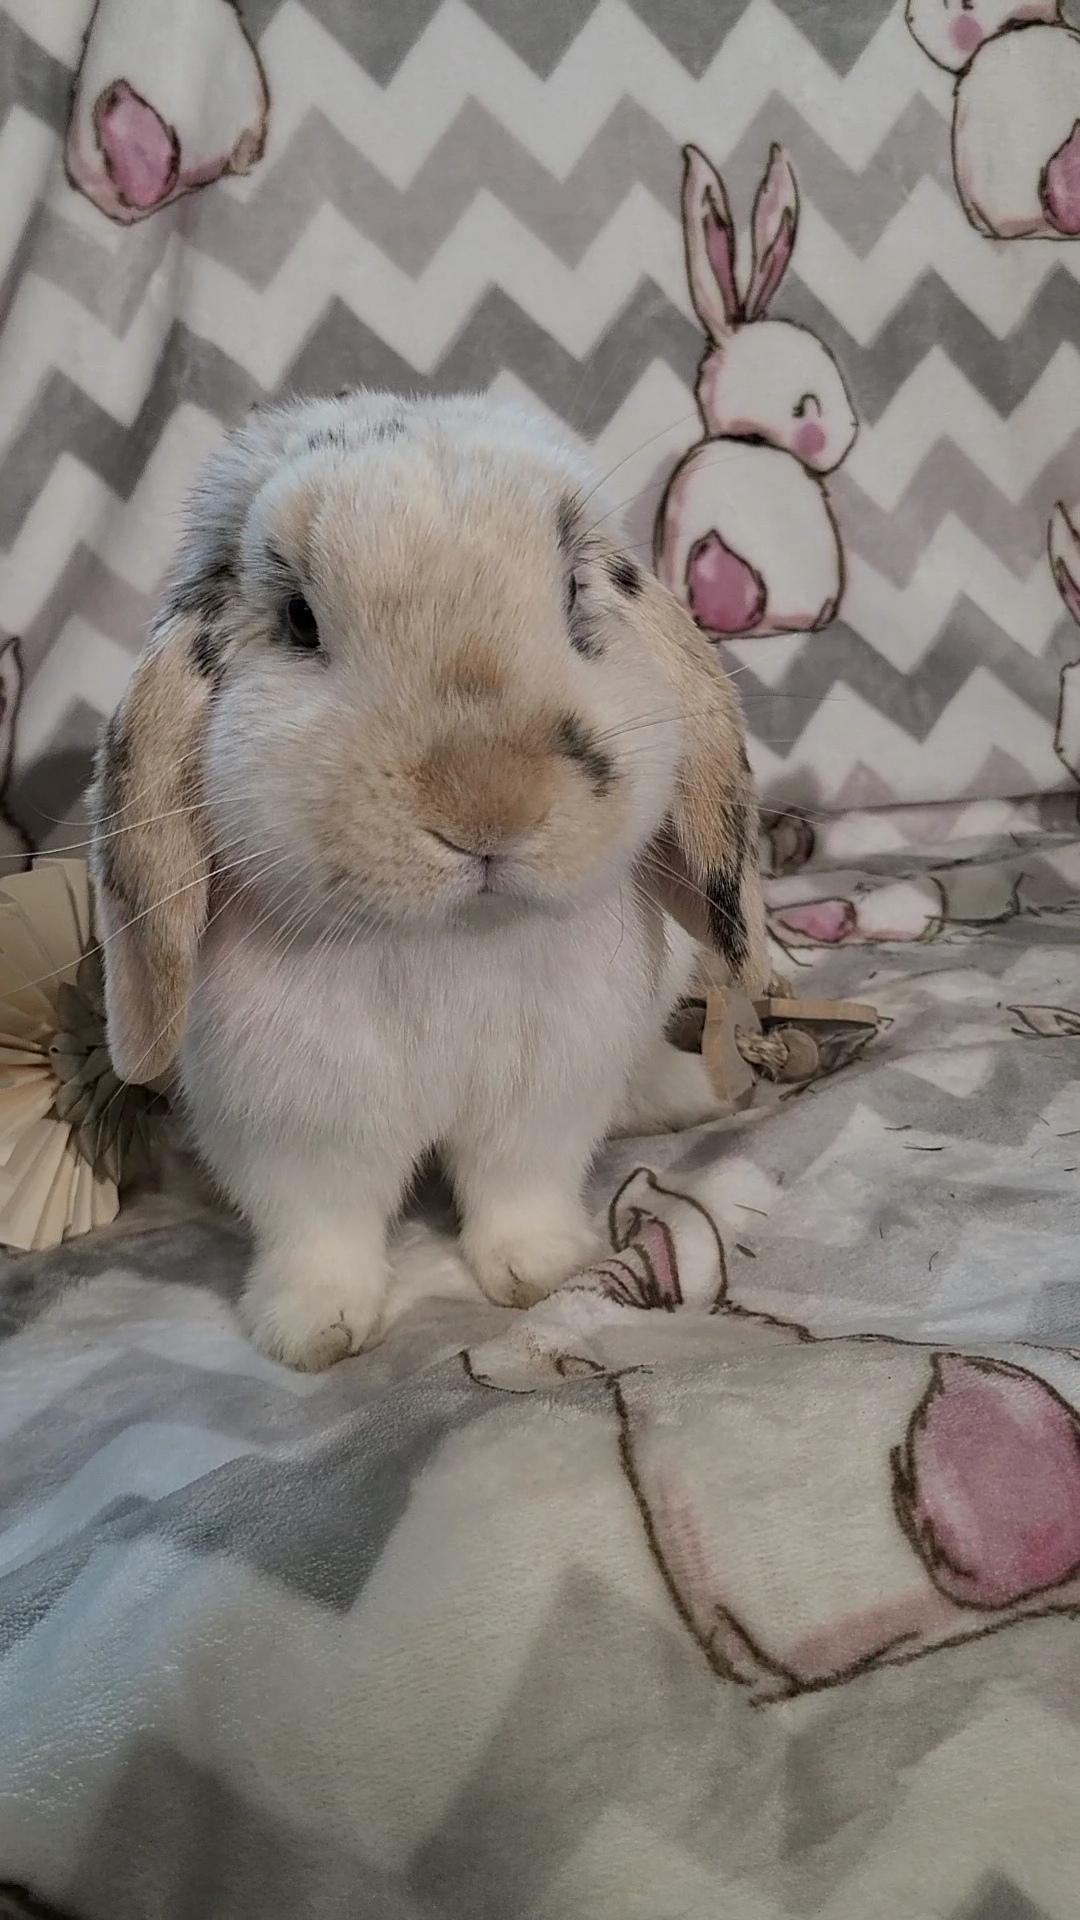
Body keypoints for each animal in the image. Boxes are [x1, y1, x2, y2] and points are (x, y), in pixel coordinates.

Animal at [90, 391, 768, 1371]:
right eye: (299, 620)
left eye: (575, 594)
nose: (487, 806)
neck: (451, 942)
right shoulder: (295, 1125)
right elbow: (319, 1227)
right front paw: (312, 1332)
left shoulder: (547, 1095)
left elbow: (521, 1184)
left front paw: (538, 1272)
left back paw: (702, 1093)